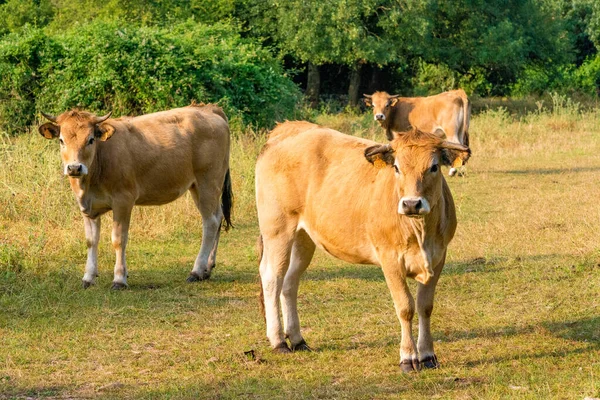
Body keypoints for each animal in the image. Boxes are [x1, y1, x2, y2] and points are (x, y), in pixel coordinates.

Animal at [38, 104, 233, 290]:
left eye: (91, 140)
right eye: (61, 140)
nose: (74, 168)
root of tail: (209, 109)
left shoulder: (123, 200)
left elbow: (118, 240)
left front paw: (119, 279)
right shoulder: (87, 206)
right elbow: (91, 241)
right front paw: (88, 277)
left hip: (208, 182)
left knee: (210, 223)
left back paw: (197, 270)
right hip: (199, 187)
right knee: (217, 217)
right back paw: (207, 268)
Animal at [255, 122, 472, 372]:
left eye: (434, 167)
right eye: (396, 167)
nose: (411, 204)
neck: (420, 232)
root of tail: (288, 128)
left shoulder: (438, 258)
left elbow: (425, 306)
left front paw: (427, 355)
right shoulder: (390, 259)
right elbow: (405, 307)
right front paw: (408, 357)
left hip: (304, 237)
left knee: (290, 282)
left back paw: (298, 339)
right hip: (277, 229)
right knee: (273, 277)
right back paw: (278, 340)